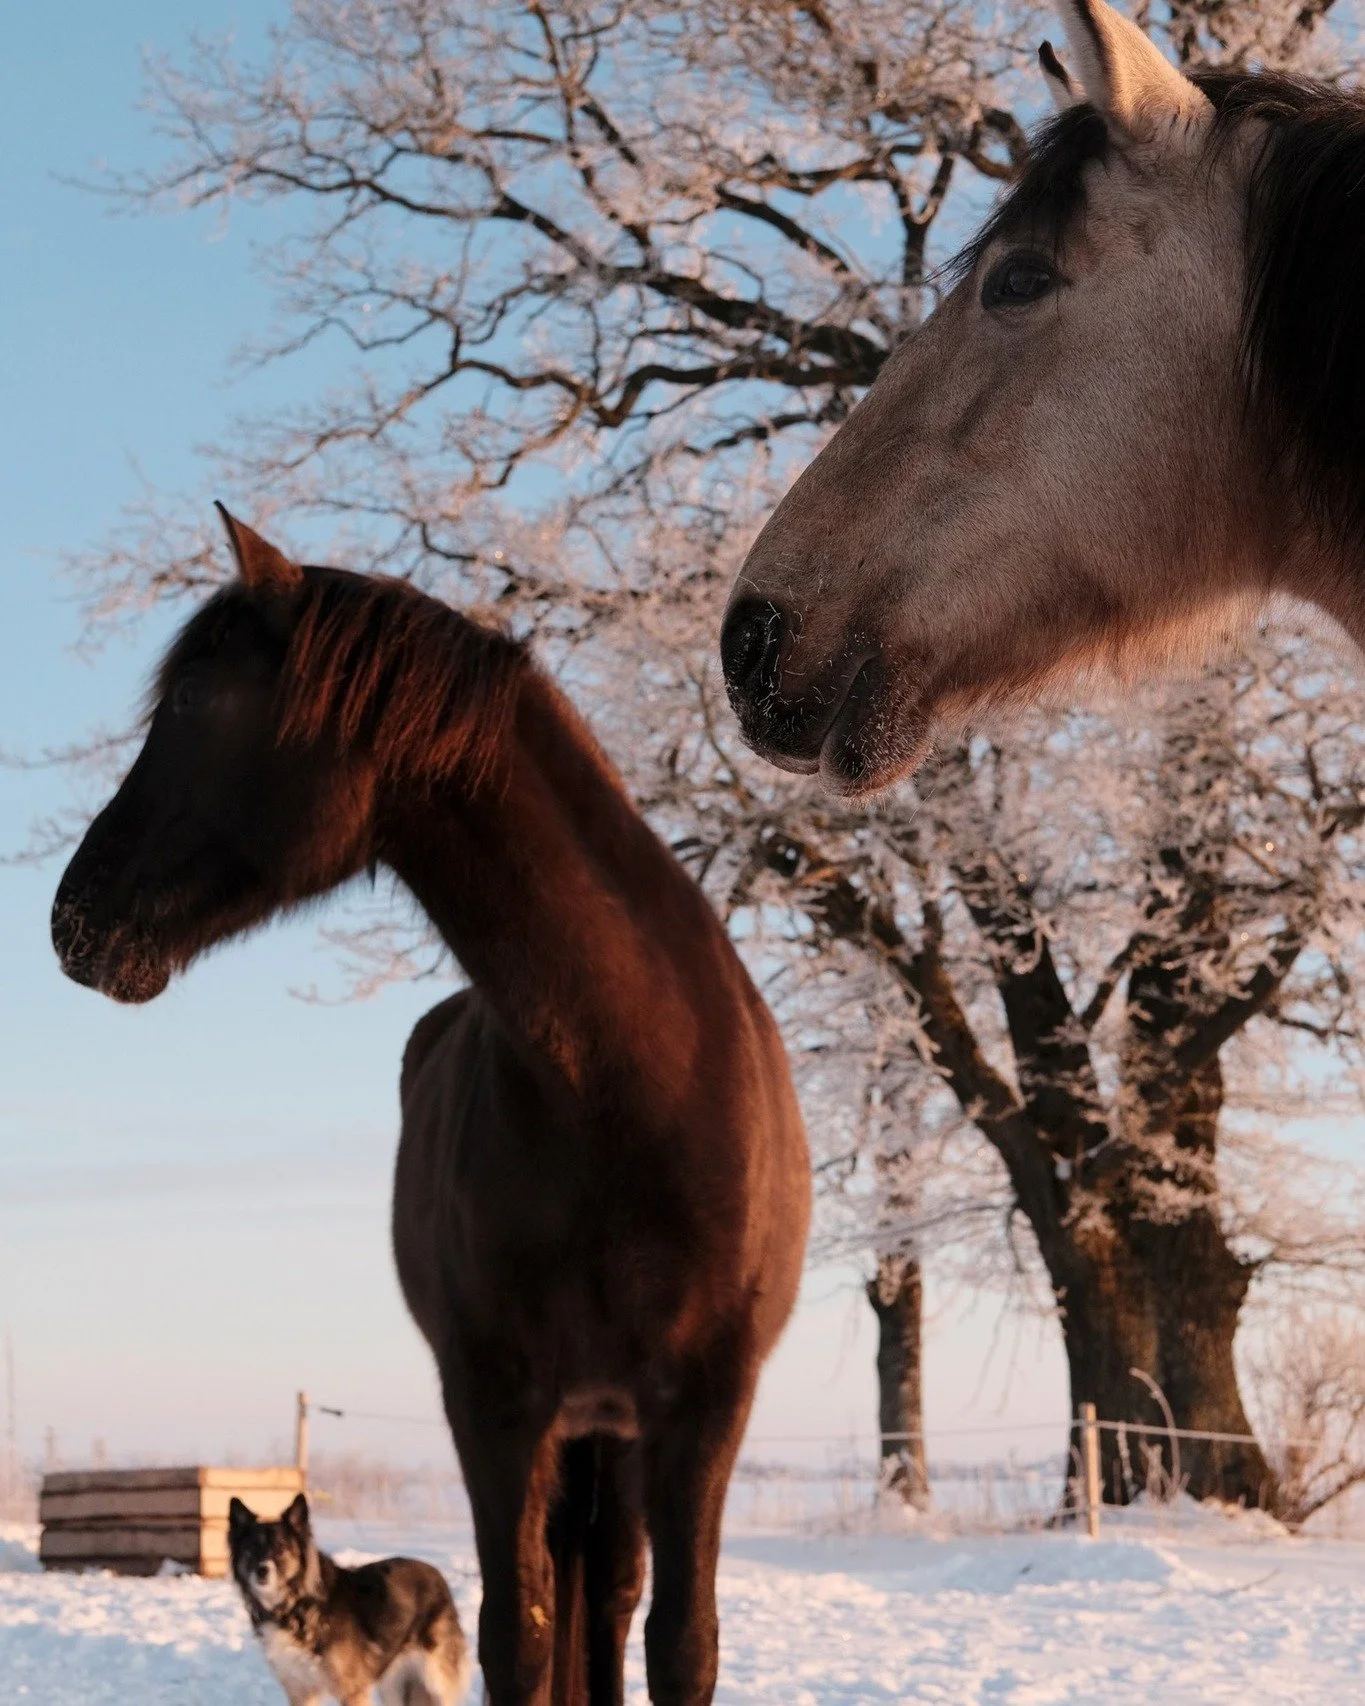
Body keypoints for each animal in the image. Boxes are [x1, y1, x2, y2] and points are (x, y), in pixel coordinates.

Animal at [51, 509, 810, 1706]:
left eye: (195, 703)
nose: (73, 918)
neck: (629, 1091)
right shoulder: (493, 1405)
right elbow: (520, 1636)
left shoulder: (703, 1406)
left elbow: (681, 1643)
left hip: (617, 1430)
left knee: (616, 1597)